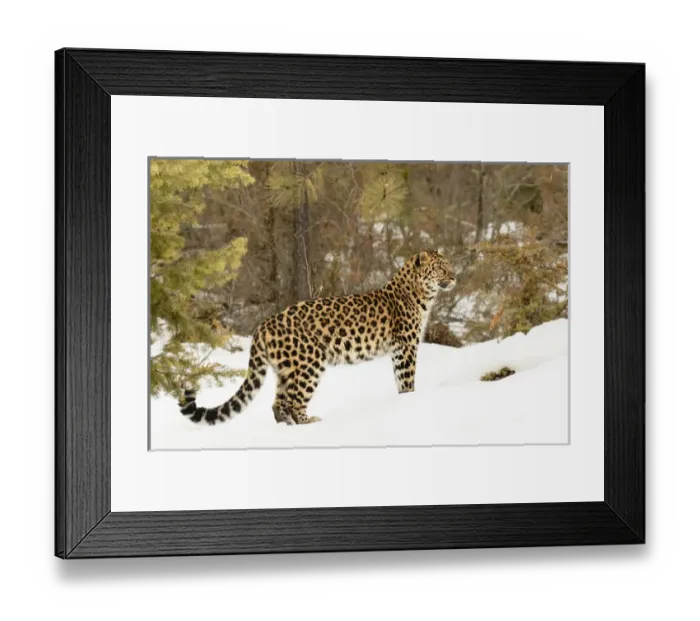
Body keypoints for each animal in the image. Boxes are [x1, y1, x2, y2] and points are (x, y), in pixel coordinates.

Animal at [179, 249, 456, 426]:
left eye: (449, 266)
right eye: (441, 268)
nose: (454, 277)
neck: (422, 294)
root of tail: (263, 326)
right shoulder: (405, 347)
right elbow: (406, 379)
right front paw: (410, 400)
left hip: (285, 369)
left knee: (278, 404)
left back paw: (288, 425)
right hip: (310, 363)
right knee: (294, 401)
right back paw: (309, 421)